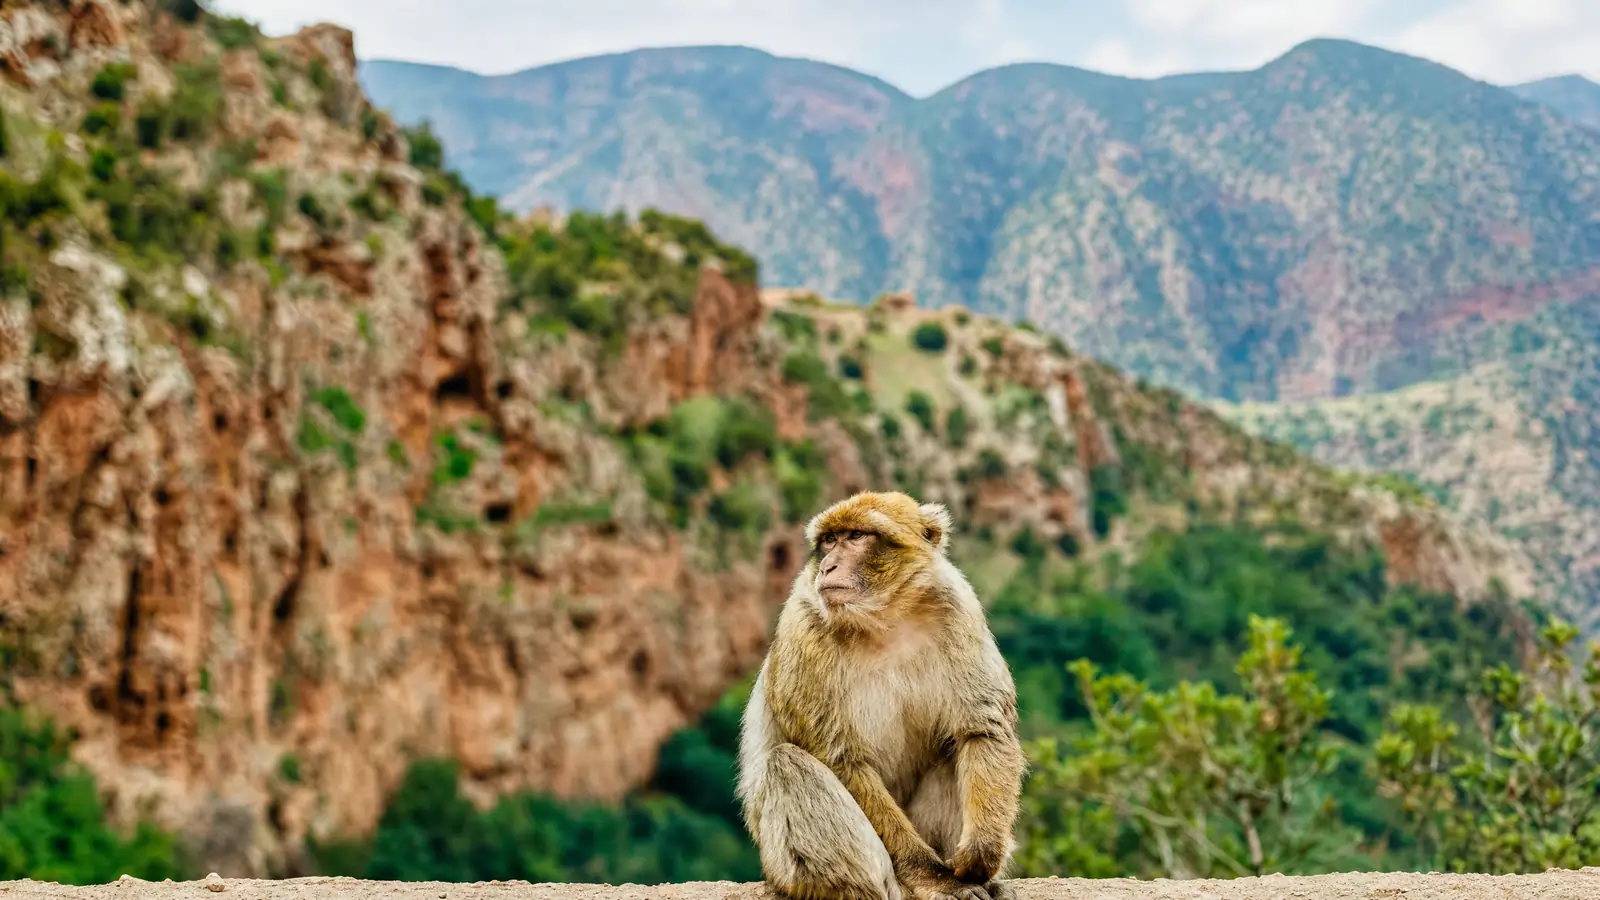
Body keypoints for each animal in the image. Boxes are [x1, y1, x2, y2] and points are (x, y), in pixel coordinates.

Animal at [736, 491, 1025, 900]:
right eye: (829, 540)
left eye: (856, 536)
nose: (827, 566)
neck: (883, 619)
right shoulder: (803, 627)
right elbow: (843, 759)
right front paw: (932, 875)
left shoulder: (957, 606)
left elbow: (980, 729)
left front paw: (981, 855)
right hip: (786, 869)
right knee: (787, 765)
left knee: (952, 751)